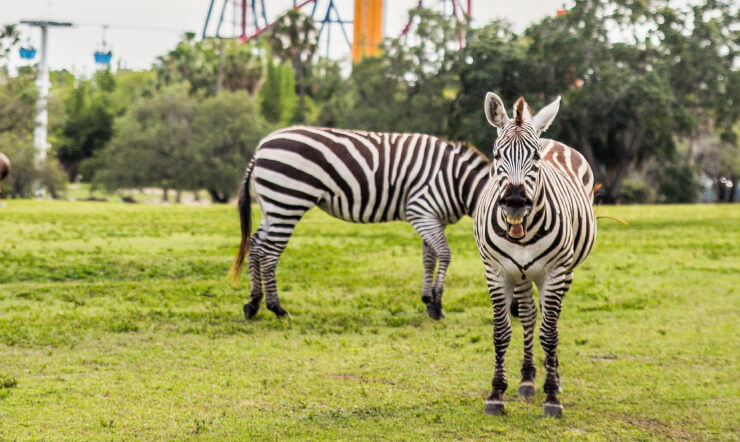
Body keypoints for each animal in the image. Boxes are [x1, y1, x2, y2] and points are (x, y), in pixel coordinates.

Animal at [229, 126, 490, 320]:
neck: (457, 180)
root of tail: (261, 147)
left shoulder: (434, 218)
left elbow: (429, 259)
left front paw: (429, 301)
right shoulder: (421, 210)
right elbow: (445, 254)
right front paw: (437, 304)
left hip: (271, 206)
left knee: (254, 245)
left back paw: (253, 303)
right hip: (286, 203)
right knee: (269, 254)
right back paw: (277, 309)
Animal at [474, 93, 596, 417]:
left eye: (536, 157)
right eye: (497, 155)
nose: (515, 201)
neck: (522, 230)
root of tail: (550, 137)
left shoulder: (554, 272)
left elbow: (550, 333)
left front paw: (552, 396)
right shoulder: (497, 271)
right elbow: (502, 332)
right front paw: (496, 394)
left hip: (564, 271)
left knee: (550, 320)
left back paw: (553, 377)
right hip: (521, 273)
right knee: (529, 316)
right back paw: (527, 379)